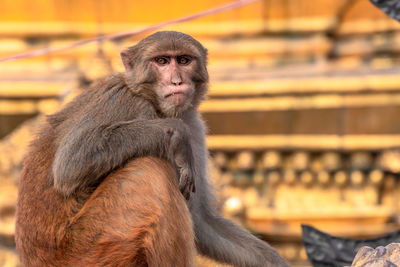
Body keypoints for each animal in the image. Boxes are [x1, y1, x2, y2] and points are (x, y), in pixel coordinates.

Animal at [15, 31, 290, 267]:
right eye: (161, 61)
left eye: (184, 60)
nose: (177, 81)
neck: (155, 104)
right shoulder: (125, 102)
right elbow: (71, 165)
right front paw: (174, 133)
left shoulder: (194, 124)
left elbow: (201, 220)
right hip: (87, 248)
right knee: (149, 170)